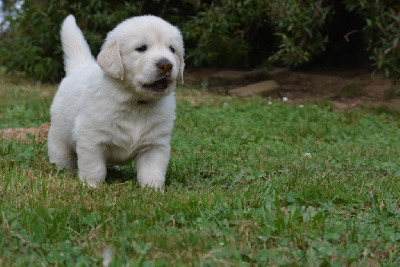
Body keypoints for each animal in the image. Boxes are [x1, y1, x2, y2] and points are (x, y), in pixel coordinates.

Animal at [48, 14, 184, 188]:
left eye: (172, 49)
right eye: (141, 48)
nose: (166, 65)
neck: (136, 103)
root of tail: (80, 68)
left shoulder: (156, 144)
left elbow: (152, 171)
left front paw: (153, 190)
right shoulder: (90, 137)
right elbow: (94, 167)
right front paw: (92, 186)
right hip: (59, 135)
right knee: (62, 154)